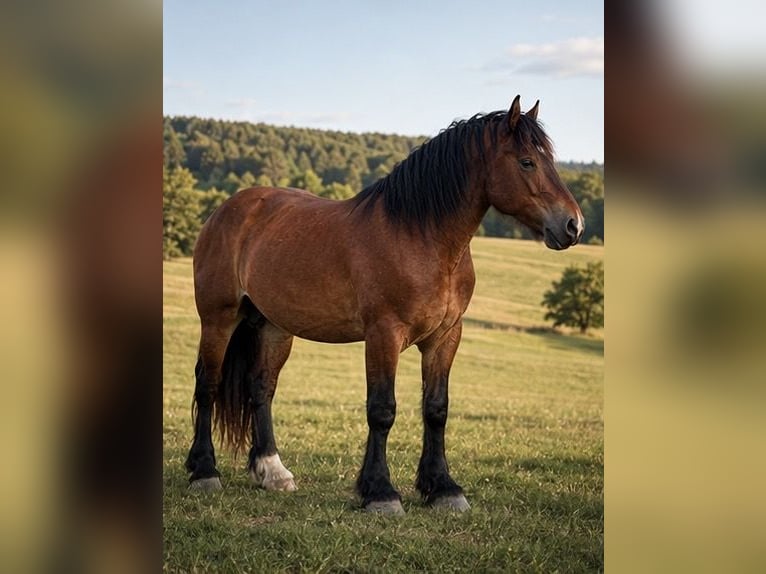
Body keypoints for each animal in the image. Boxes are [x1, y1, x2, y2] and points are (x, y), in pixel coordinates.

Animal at [185, 95, 584, 514]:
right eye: (527, 161)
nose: (573, 225)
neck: (419, 237)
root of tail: (228, 210)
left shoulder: (445, 337)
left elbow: (436, 409)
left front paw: (443, 488)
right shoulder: (383, 334)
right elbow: (382, 410)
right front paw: (380, 492)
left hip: (274, 327)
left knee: (260, 387)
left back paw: (272, 472)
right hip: (219, 319)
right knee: (208, 384)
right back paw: (204, 472)